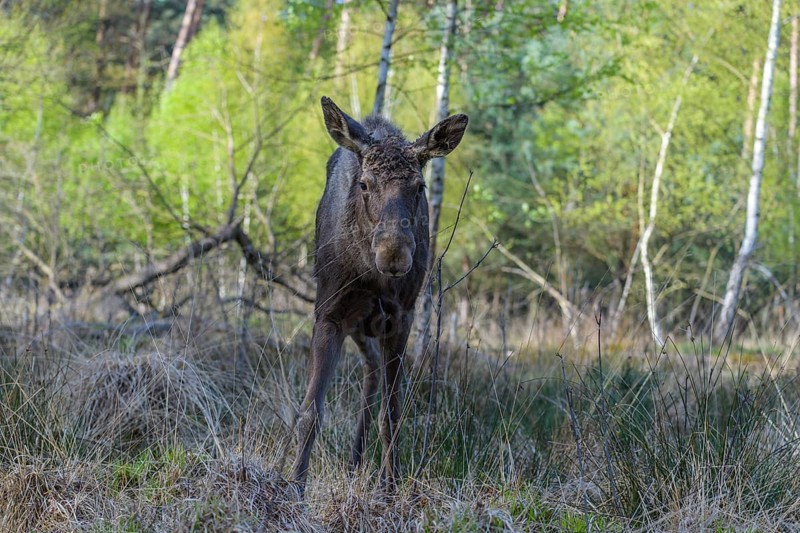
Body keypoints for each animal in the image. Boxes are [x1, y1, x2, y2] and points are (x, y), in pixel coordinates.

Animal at [290, 97, 468, 497]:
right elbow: (311, 412)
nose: (394, 254)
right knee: (368, 370)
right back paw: (353, 461)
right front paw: (293, 487)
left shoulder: (400, 319)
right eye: (365, 184)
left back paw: (359, 463)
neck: (371, 275)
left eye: (419, 186)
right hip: (357, 324)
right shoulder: (330, 313)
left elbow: (393, 415)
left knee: (373, 379)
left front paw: (390, 488)